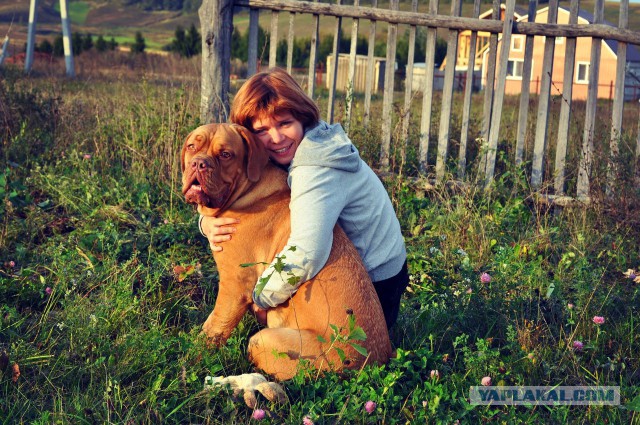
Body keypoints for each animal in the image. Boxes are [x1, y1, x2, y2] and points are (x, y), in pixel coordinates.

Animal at [178, 123, 392, 380]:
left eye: (226, 154)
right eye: (192, 146)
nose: (199, 163)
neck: (246, 191)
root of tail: (370, 365)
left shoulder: (235, 286)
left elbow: (214, 327)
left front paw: (194, 357)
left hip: (264, 341)